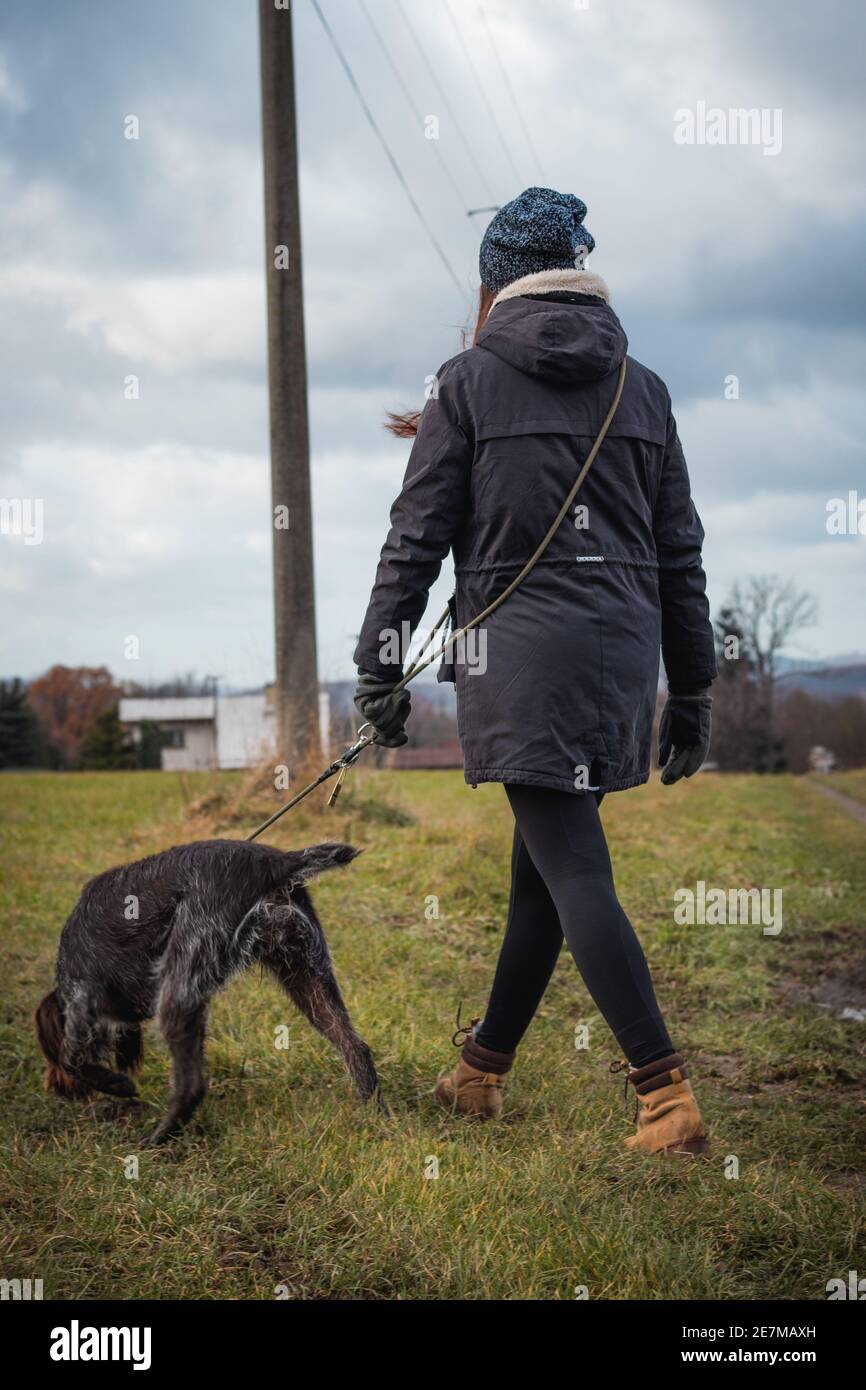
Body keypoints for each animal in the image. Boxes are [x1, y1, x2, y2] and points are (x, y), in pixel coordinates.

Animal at [34, 834, 378, 1139]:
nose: (52, 1088)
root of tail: (274, 861)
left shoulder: (81, 997)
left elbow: (72, 1059)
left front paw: (115, 1084)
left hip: (177, 987)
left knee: (192, 1085)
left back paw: (158, 1139)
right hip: (307, 977)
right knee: (355, 1048)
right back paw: (377, 1119)